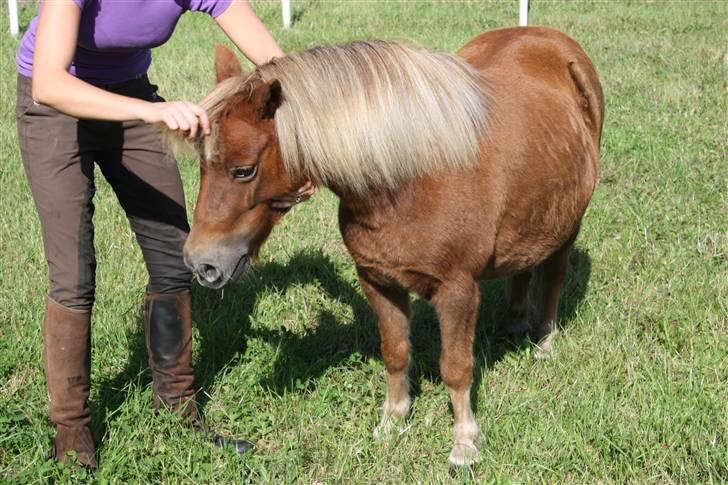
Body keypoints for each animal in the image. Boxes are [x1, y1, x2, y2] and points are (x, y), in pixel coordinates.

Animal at [181, 27, 604, 466]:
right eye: (202, 165)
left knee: (553, 278)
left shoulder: (457, 292)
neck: (411, 177)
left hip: (568, 226)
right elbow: (396, 352)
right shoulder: (378, 281)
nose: (201, 262)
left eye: (243, 170)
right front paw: (393, 422)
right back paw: (517, 324)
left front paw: (465, 442)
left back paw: (544, 341)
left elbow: (456, 368)